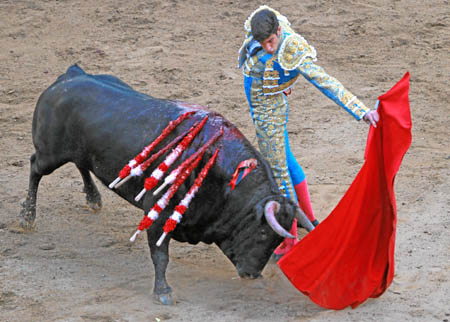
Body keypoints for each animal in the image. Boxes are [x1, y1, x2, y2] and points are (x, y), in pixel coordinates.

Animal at [18, 65, 312, 304]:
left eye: (277, 240)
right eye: (262, 233)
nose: (252, 274)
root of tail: (70, 75)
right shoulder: (158, 213)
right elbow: (160, 254)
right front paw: (163, 292)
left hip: (78, 152)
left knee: (81, 164)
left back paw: (93, 198)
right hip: (50, 154)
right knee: (35, 168)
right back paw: (27, 217)